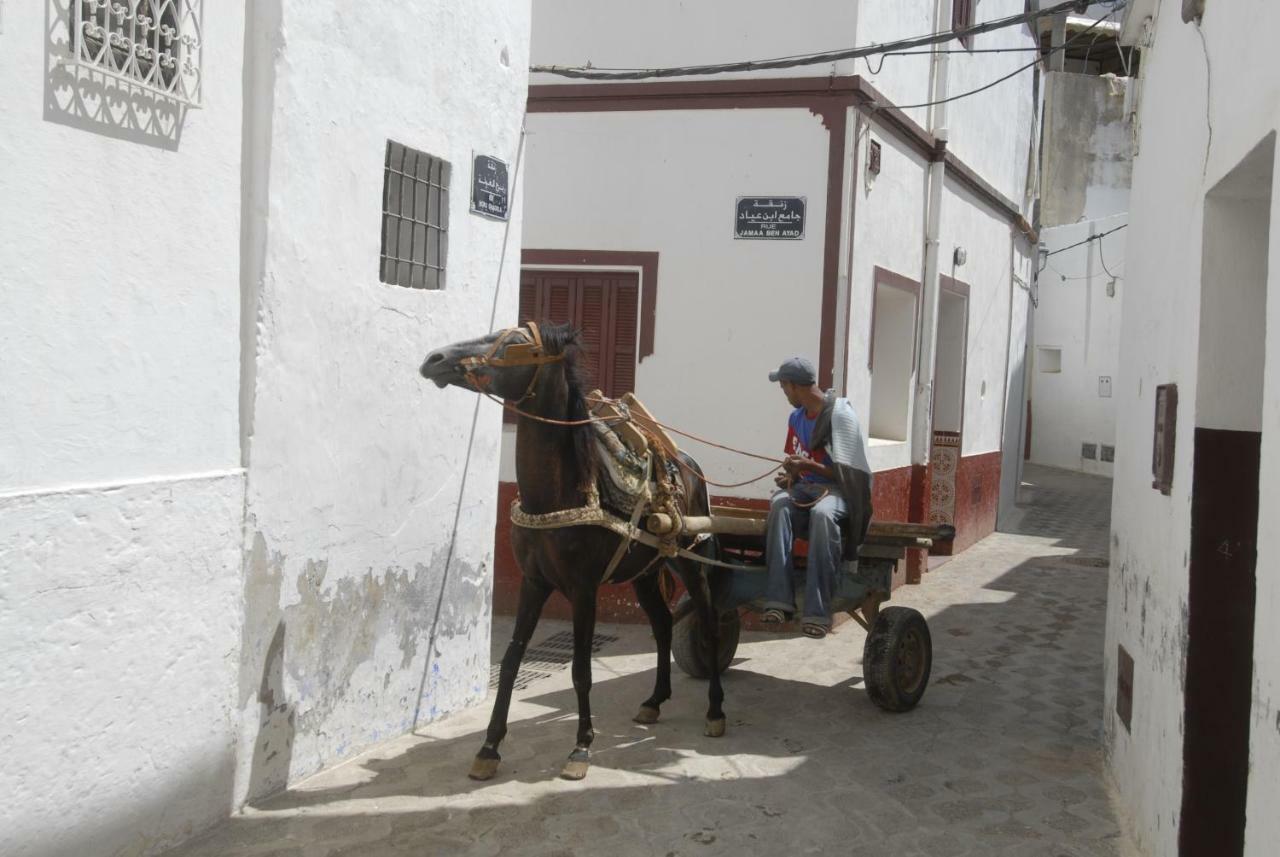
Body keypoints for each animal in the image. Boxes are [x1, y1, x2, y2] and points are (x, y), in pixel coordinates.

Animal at [417, 321, 727, 777]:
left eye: (515, 344)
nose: (434, 359)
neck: (556, 493)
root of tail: (687, 462)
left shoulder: (583, 590)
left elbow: (581, 669)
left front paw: (581, 746)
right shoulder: (533, 582)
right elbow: (511, 661)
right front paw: (489, 747)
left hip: (689, 561)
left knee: (707, 620)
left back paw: (716, 711)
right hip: (645, 572)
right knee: (662, 625)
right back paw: (654, 701)